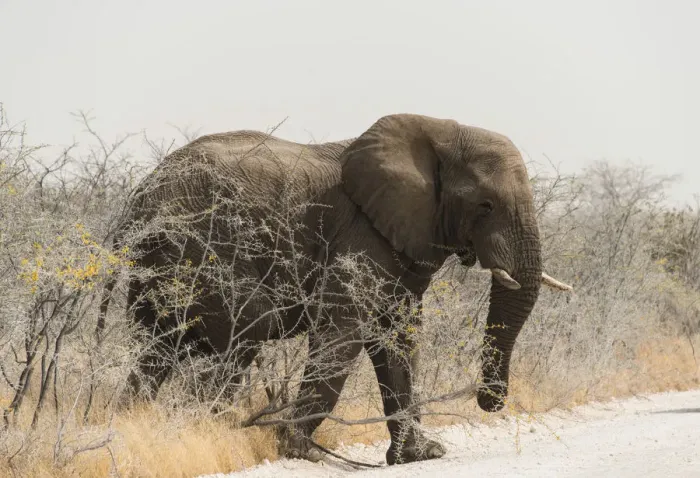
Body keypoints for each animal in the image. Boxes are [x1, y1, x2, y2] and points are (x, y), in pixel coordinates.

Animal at [98, 113, 572, 465]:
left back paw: (137, 428)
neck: (439, 131)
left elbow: (398, 336)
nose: (490, 402)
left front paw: (421, 455)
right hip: (198, 245)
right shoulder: (362, 232)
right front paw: (300, 450)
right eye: (485, 205)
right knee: (246, 328)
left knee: (156, 348)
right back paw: (199, 433)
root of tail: (139, 196)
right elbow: (345, 328)